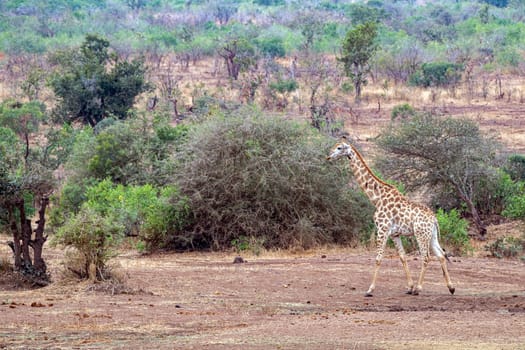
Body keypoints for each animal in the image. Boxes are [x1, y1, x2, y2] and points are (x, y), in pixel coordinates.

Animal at [328, 138, 454, 296]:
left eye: (339, 148)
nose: (328, 157)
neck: (377, 198)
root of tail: (434, 219)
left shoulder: (382, 229)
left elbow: (378, 258)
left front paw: (370, 289)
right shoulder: (395, 234)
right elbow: (402, 257)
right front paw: (409, 287)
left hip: (421, 234)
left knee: (426, 257)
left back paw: (419, 289)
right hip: (431, 236)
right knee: (441, 255)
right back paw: (451, 288)